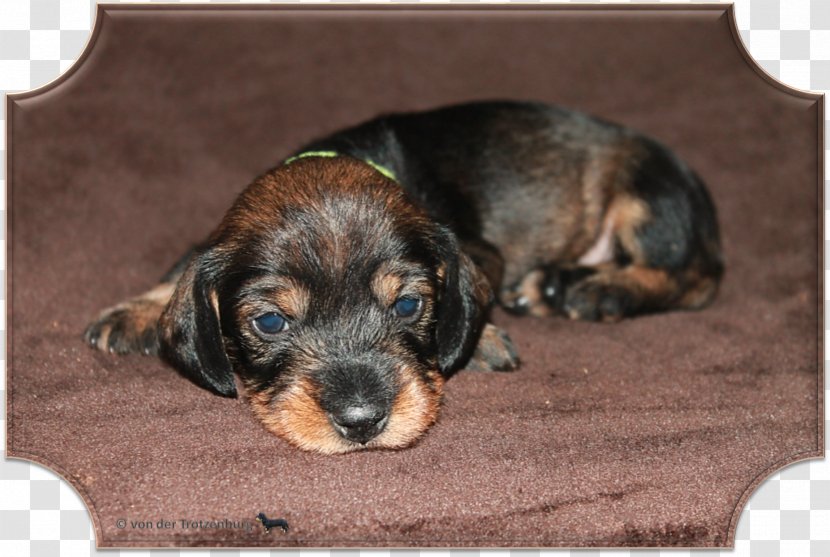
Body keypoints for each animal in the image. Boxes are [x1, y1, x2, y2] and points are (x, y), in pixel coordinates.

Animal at [81, 102, 724, 454]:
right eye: (269, 321)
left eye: (409, 307)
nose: (363, 422)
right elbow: (185, 263)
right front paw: (137, 310)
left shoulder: (477, 249)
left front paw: (481, 340)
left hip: (647, 194)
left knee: (692, 278)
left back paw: (594, 289)